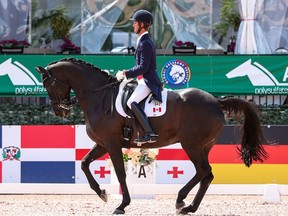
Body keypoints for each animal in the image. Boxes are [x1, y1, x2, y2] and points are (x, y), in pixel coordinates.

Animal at [35, 57, 268, 214]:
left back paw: (182, 201)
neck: (99, 96)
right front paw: (102, 193)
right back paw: (189, 206)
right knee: (207, 175)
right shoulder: (102, 144)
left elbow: (120, 173)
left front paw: (122, 205)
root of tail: (216, 101)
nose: (60, 111)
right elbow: (84, 163)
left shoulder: (111, 143)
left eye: (48, 84)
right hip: (204, 146)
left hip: (192, 145)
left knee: (203, 171)